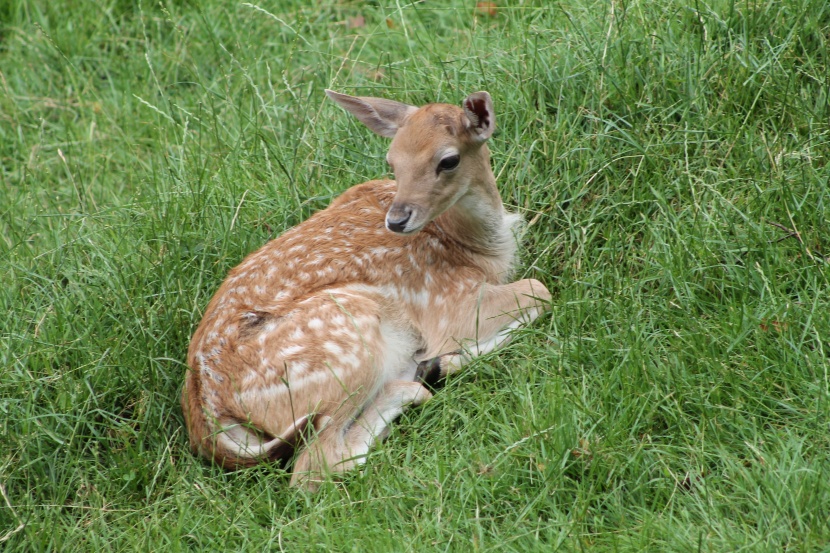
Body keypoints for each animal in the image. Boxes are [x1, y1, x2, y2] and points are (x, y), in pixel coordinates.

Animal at [185, 87, 556, 488]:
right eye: (391, 161)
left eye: (449, 160)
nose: (397, 219)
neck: (478, 248)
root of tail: (209, 418)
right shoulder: (447, 301)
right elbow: (541, 290)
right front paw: (445, 357)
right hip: (347, 339)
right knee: (314, 466)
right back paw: (424, 375)